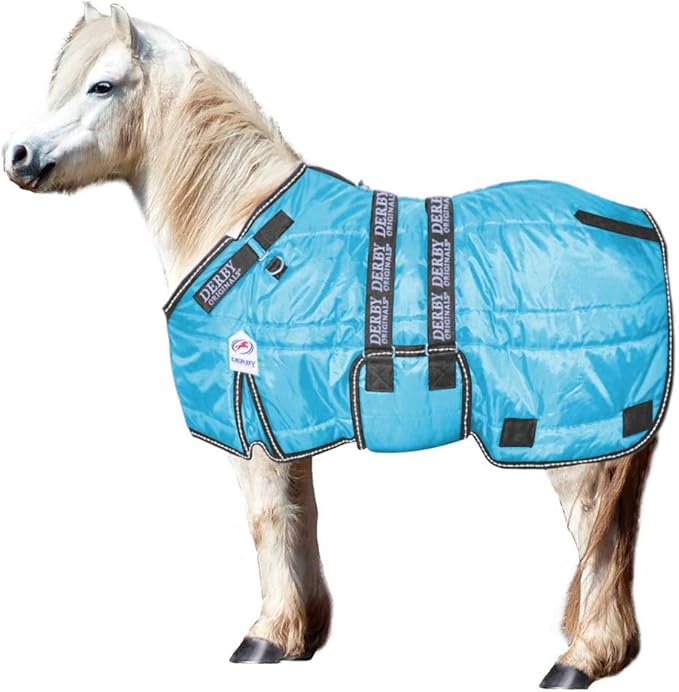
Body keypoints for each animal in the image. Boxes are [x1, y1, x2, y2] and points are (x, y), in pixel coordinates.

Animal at [2, 5, 666, 688]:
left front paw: (264, 636)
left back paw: (580, 657)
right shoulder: (283, 425)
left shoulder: (249, 427)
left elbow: (267, 522)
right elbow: (301, 519)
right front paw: (301, 636)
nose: (18, 155)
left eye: (101, 86)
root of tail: (636, 226)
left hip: (574, 448)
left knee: (598, 543)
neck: (238, 224)